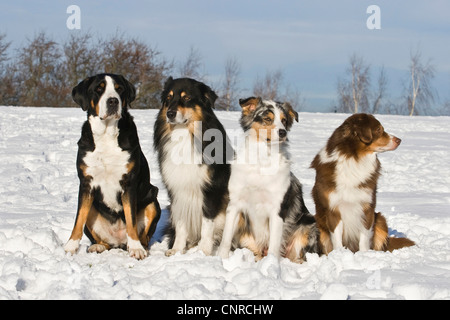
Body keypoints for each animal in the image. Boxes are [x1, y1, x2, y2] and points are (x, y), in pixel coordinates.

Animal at [64, 73, 161, 260]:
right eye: (98, 89)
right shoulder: (86, 183)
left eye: (119, 89)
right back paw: (97, 246)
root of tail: (119, 242)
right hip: (94, 209)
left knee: (144, 237)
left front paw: (136, 248)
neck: (106, 135)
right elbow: (78, 218)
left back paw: (140, 246)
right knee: (102, 240)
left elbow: (130, 219)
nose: (113, 101)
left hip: (152, 199)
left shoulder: (129, 183)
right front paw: (70, 247)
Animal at [154, 76, 234, 256]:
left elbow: (207, 224)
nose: (170, 113)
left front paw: (203, 251)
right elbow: (181, 223)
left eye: (187, 98)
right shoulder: (178, 191)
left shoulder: (211, 190)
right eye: (168, 98)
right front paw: (177, 249)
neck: (184, 133)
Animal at [218, 97, 320, 262]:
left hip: (307, 225)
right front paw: (221, 258)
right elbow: (226, 237)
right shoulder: (235, 204)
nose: (283, 132)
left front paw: (271, 264)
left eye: (284, 121)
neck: (262, 159)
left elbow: (274, 243)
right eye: (267, 119)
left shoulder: (277, 209)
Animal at [312, 114, 414, 254]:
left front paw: (364, 254)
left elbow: (364, 236)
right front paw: (339, 254)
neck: (354, 159)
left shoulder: (367, 207)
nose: (399, 140)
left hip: (380, 219)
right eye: (378, 129)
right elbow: (337, 238)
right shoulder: (333, 208)